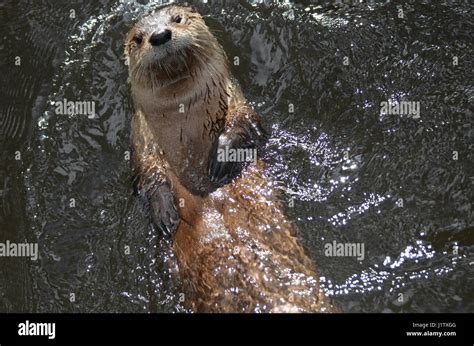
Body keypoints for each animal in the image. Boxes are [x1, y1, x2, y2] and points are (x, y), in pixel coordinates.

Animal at [124, 5, 336, 314]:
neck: (185, 121)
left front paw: (221, 155)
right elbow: (147, 171)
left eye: (177, 18)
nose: (160, 35)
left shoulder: (237, 100)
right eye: (138, 38)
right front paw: (164, 212)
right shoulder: (141, 135)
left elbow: (248, 125)